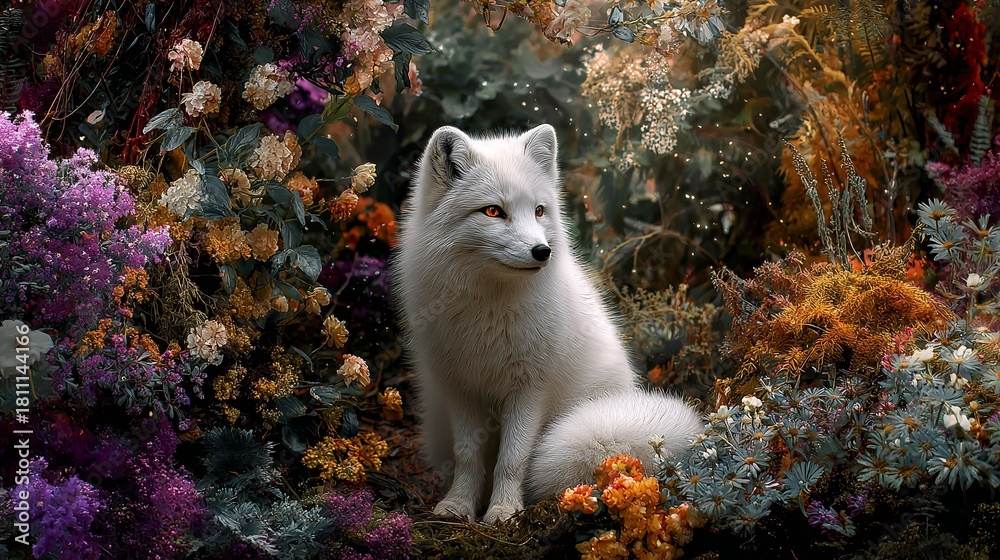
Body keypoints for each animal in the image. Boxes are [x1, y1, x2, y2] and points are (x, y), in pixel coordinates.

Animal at [393, 124, 703, 523]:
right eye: (493, 211)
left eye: (539, 211)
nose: (542, 251)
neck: (488, 312)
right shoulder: (461, 388)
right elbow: (467, 456)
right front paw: (459, 505)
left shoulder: (529, 389)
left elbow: (513, 458)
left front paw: (504, 510)